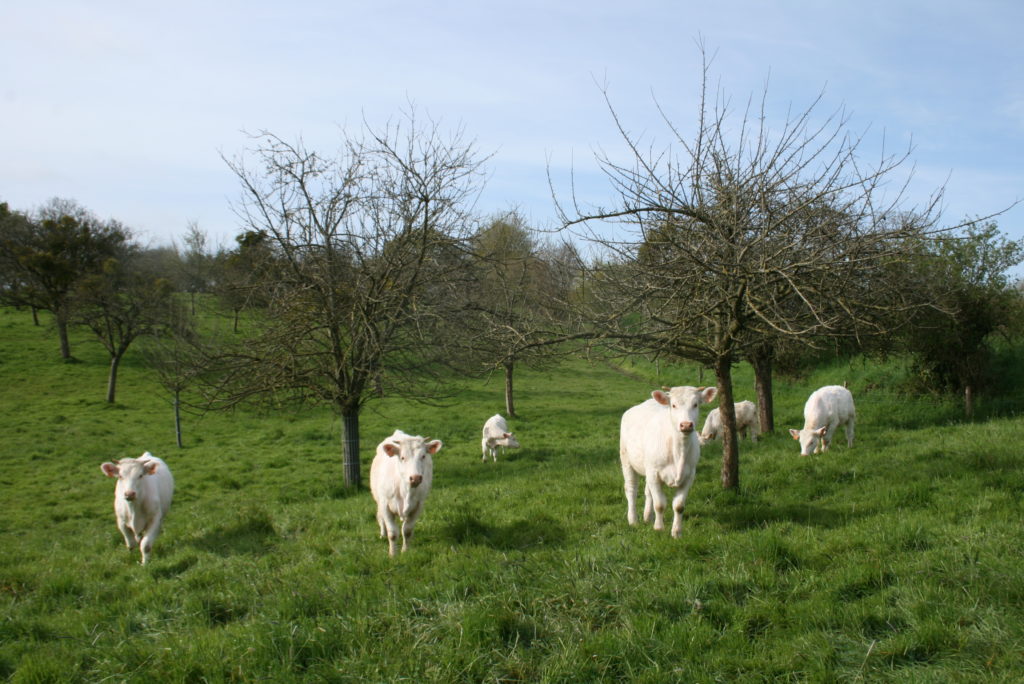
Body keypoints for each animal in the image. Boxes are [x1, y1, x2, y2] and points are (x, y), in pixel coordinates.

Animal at [618, 387, 716, 536]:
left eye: (695, 404)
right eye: (673, 405)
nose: (686, 425)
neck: (679, 451)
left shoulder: (689, 476)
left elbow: (679, 506)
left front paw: (676, 532)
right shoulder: (654, 473)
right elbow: (659, 504)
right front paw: (658, 528)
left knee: (648, 492)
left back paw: (648, 517)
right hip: (627, 460)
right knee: (631, 489)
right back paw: (633, 520)